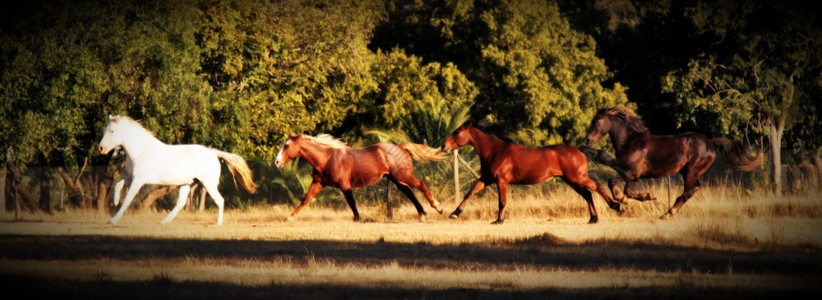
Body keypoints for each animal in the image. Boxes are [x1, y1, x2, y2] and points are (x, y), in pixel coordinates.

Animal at [98, 115, 258, 225]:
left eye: (112, 131)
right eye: (105, 130)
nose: (101, 148)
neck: (141, 150)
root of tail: (213, 153)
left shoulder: (139, 180)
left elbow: (128, 199)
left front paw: (113, 220)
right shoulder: (131, 176)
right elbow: (119, 184)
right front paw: (115, 201)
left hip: (208, 184)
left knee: (220, 200)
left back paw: (218, 223)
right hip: (188, 183)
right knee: (180, 203)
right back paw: (163, 222)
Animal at [276, 132, 444, 221]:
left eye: (286, 145)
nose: (276, 162)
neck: (327, 158)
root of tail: (400, 147)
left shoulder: (345, 185)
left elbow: (351, 202)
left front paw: (358, 218)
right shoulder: (318, 183)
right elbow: (306, 199)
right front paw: (290, 217)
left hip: (402, 175)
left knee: (421, 184)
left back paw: (438, 207)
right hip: (396, 179)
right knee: (409, 192)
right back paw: (422, 214)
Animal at [440, 119, 620, 223]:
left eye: (457, 132)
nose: (443, 146)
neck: (495, 151)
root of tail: (578, 149)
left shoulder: (501, 181)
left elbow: (502, 201)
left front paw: (499, 220)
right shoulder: (486, 178)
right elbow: (469, 193)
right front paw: (454, 213)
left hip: (578, 177)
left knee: (597, 186)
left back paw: (616, 206)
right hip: (570, 180)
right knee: (587, 194)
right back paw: (593, 218)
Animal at [584, 106, 768, 219]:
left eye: (597, 121)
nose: (587, 140)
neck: (631, 141)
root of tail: (710, 142)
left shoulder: (630, 172)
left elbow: (612, 181)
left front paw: (623, 201)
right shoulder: (634, 177)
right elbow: (628, 192)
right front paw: (643, 197)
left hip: (692, 171)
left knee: (688, 191)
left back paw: (667, 214)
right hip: (687, 171)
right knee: (694, 189)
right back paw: (667, 212)